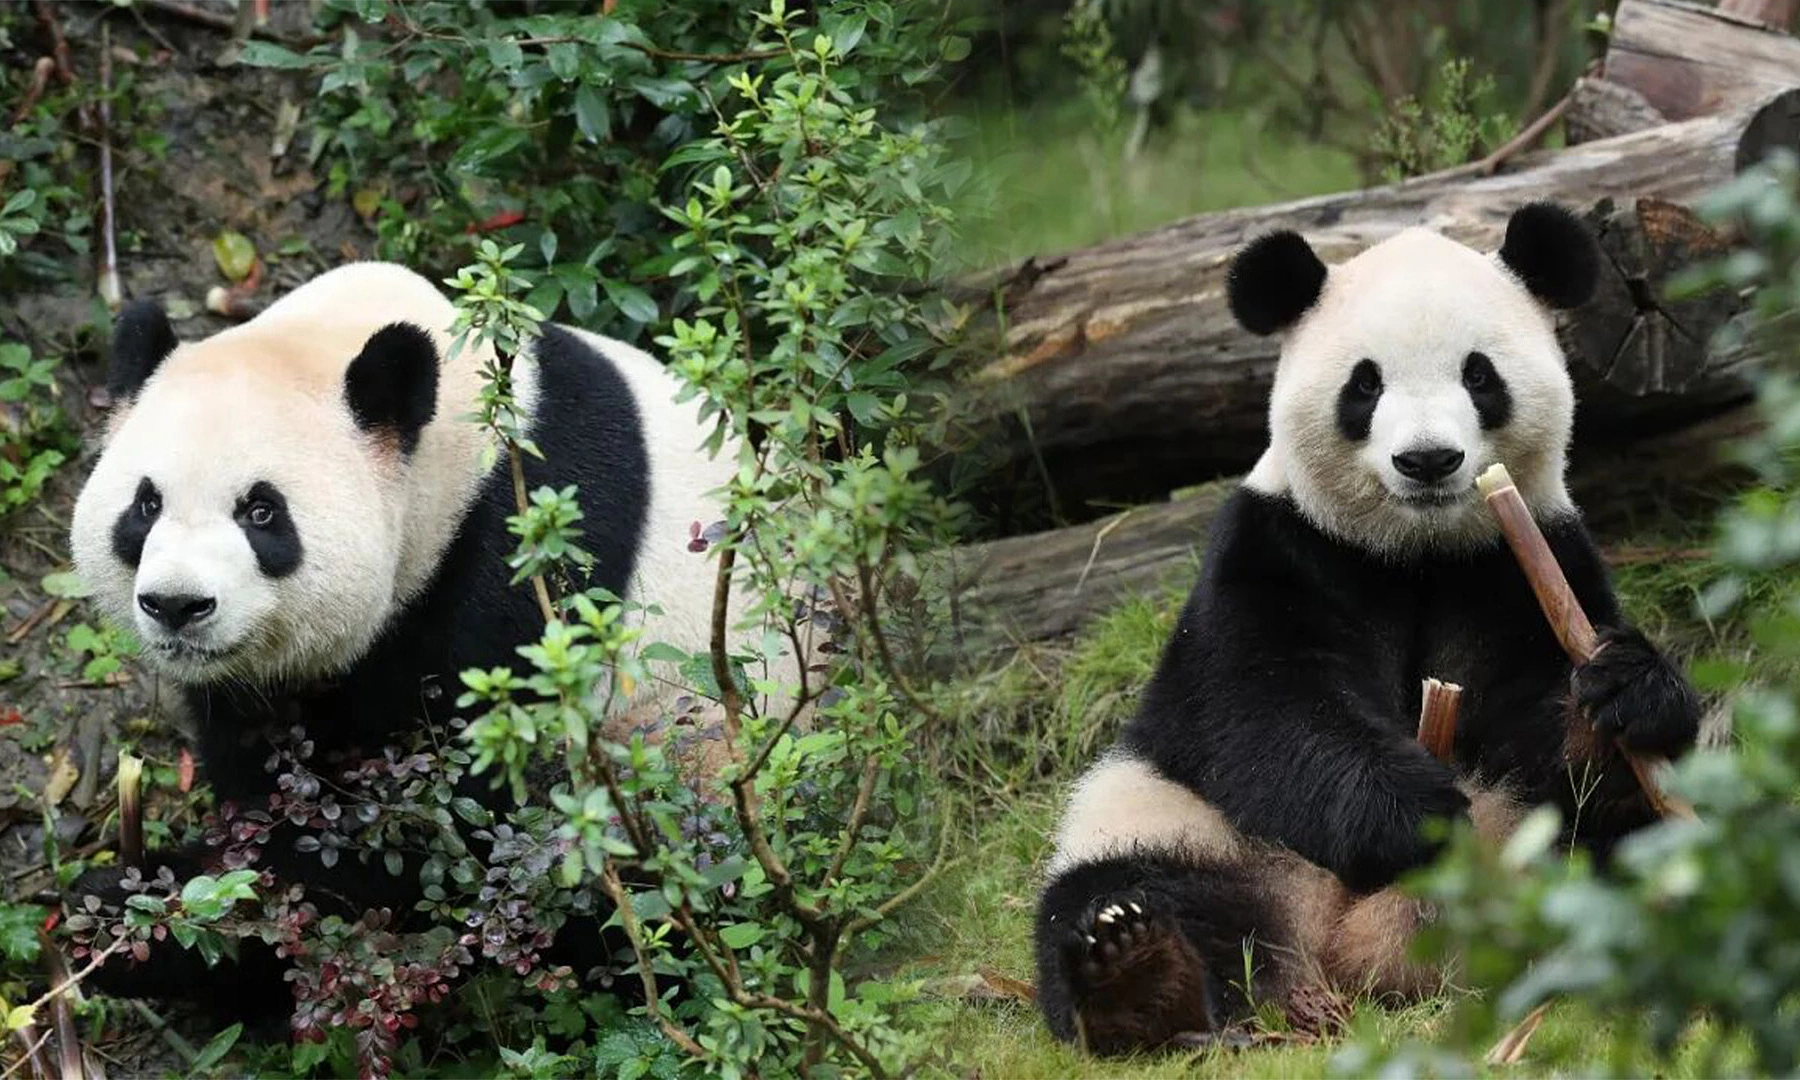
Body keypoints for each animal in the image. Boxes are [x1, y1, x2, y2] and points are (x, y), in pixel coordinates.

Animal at [65, 262, 788, 1020]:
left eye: (262, 512)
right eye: (146, 505)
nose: (177, 605)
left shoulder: (521, 566)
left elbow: (426, 835)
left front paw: (159, 923)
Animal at [1033, 204, 1703, 1056]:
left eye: (1479, 375)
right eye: (1365, 383)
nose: (1428, 460)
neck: (1415, 552)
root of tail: (1345, 953)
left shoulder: (1523, 561)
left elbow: (1542, 720)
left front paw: (1623, 693)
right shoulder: (1276, 548)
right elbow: (1262, 706)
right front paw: (1409, 812)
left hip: (1530, 844)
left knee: (1623, 848)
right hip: (1175, 818)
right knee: (1123, 887)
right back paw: (1140, 975)